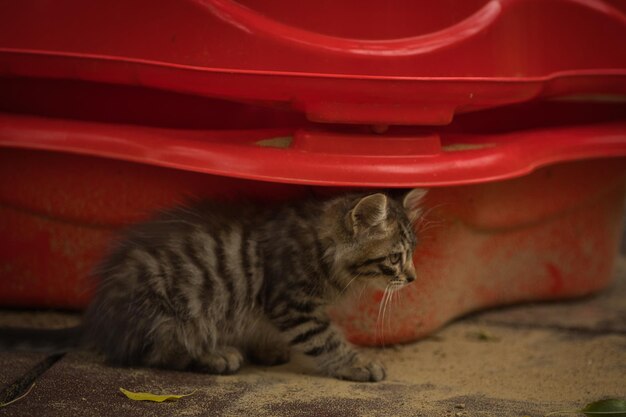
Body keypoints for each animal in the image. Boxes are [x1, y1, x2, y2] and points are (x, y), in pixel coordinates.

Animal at [0, 190, 424, 382]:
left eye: (412, 254)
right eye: (394, 258)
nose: (413, 278)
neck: (321, 245)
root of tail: (99, 317)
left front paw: (267, 347)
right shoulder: (292, 303)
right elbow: (327, 340)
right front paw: (358, 363)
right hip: (168, 311)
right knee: (156, 354)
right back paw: (215, 355)